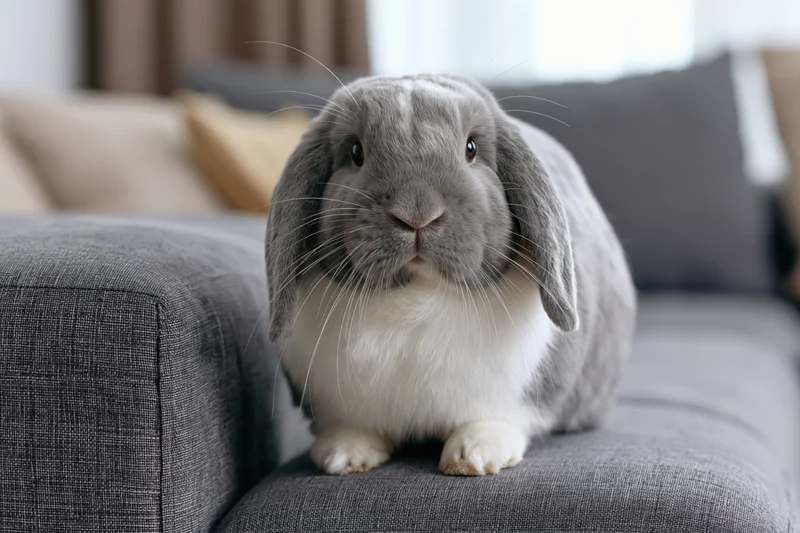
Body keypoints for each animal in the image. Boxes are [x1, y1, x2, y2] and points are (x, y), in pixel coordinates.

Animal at [265, 74, 636, 476]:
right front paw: (343, 456)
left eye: (471, 148)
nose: (417, 214)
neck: (416, 300)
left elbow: (497, 420)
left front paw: (473, 456)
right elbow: (351, 428)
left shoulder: (517, 399)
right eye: (355, 152)